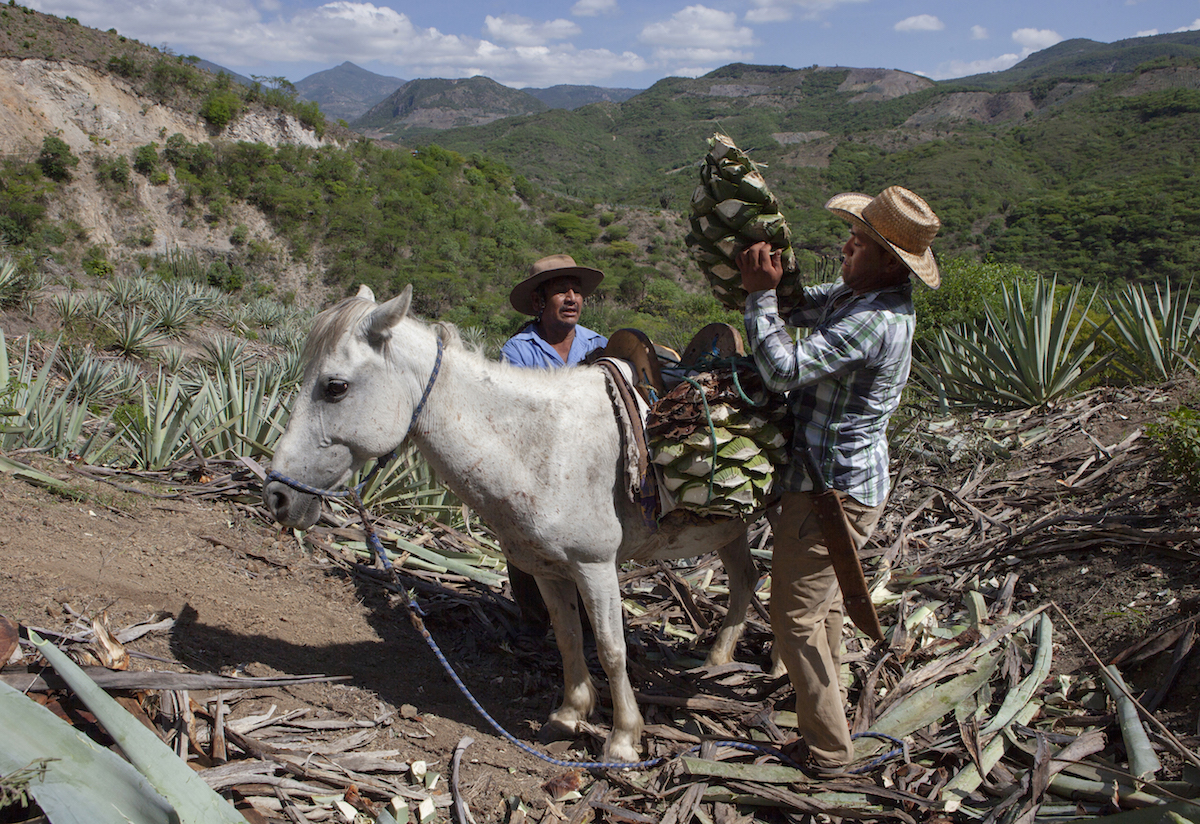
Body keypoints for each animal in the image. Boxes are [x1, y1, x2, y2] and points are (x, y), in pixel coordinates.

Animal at [264, 286, 758, 762]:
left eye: (335, 387)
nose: (276, 496)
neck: (545, 447)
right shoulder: (549, 569)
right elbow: (568, 637)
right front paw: (569, 715)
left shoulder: (595, 566)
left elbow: (611, 649)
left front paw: (622, 740)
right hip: (732, 528)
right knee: (745, 580)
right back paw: (720, 661)